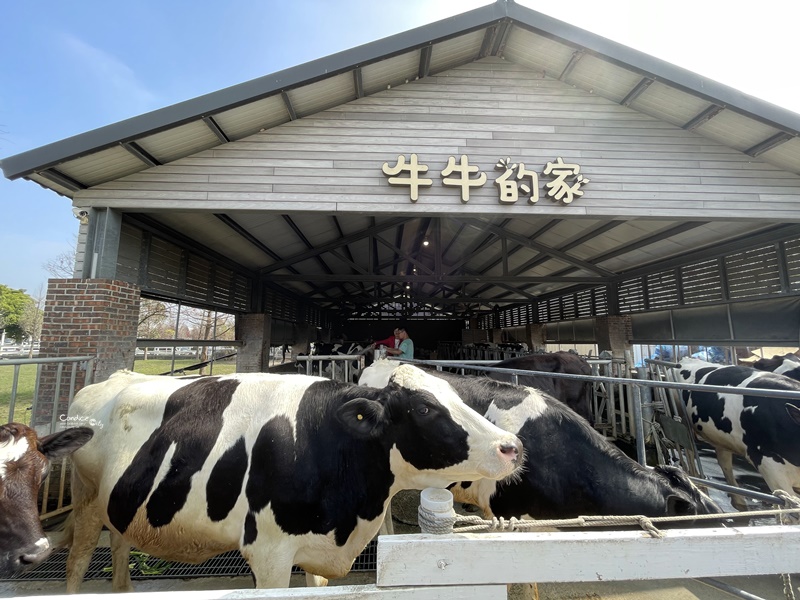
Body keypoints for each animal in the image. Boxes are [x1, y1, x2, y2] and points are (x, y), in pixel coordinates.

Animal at [65, 366, 520, 592]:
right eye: (424, 409)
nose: (511, 446)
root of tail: (115, 377)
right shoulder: (268, 553)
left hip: (119, 503)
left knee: (120, 545)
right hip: (85, 499)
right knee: (77, 564)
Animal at [672, 358, 800, 508]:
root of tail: (685, 359)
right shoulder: (770, 466)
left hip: (721, 438)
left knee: (724, 463)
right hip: (683, 423)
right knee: (690, 452)